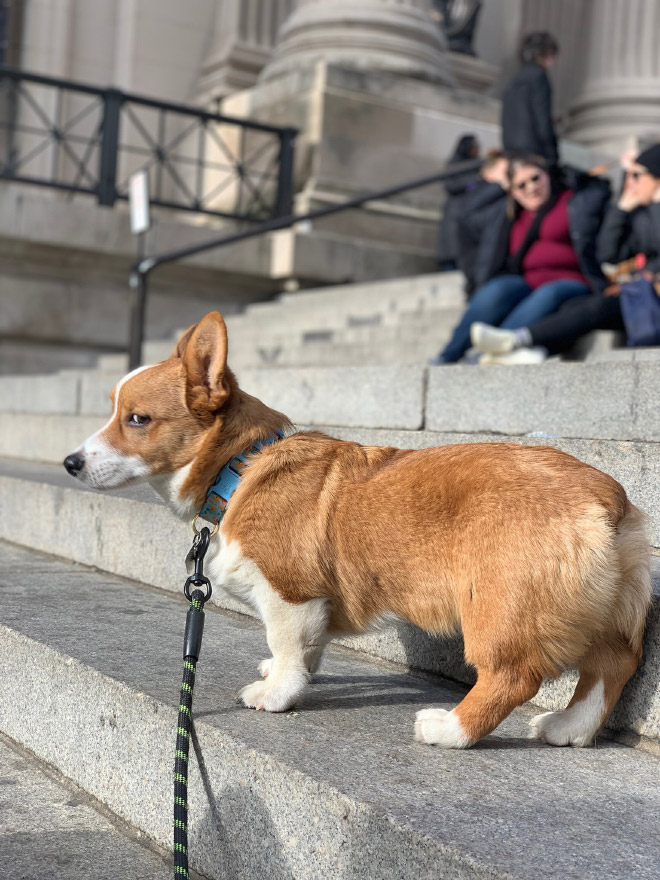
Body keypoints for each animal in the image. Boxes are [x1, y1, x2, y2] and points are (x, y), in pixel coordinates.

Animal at [64, 312, 652, 744]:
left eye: (136, 419)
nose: (69, 462)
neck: (242, 466)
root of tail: (606, 497)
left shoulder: (290, 592)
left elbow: (287, 644)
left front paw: (277, 695)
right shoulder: (311, 604)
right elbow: (305, 650)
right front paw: (288, 674)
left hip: (498, 607)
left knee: (514, 676)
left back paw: (449, 729)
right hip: (605, 615)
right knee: (613, 665)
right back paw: (568, 727)